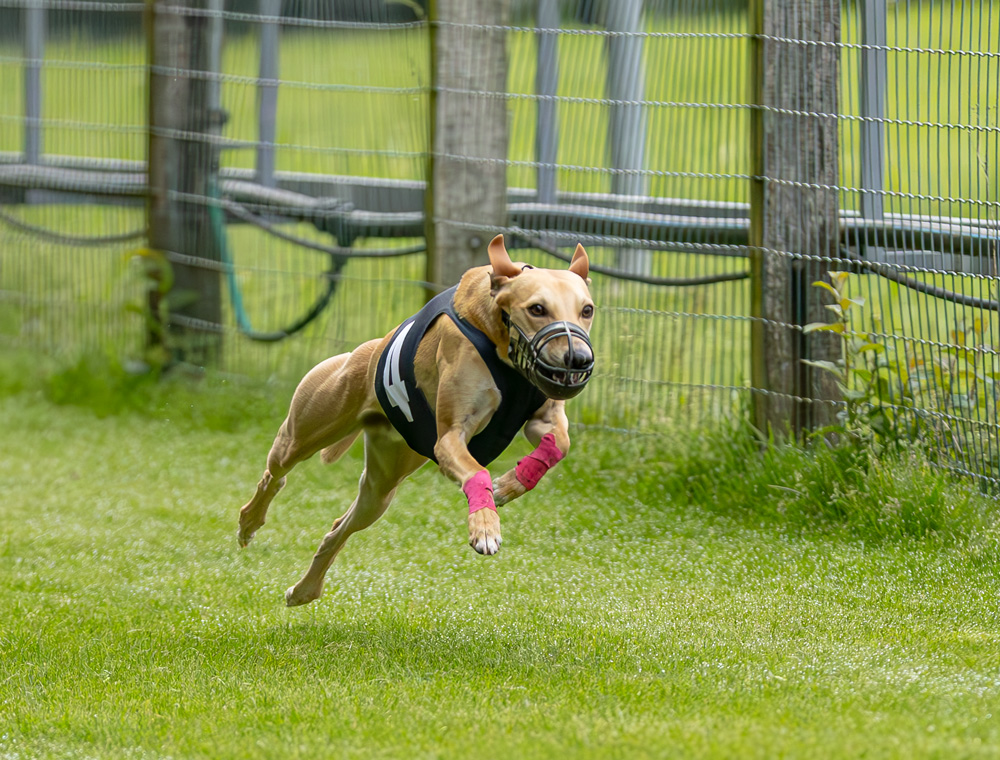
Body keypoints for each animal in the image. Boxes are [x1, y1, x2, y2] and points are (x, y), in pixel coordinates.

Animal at [236, 233, 592, 604]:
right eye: (537, 309)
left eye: (587, 310)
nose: (579, 359)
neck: (499, 340)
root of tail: (364, 352)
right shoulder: (449, 438)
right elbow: (476, 471)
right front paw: (485, 526)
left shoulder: (542, 417)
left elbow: (558, 445)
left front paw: (508, 486)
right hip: (304, 432)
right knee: (276, 474)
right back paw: (249, 523)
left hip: (381, 487)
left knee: (338, 529)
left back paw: (304, 590)